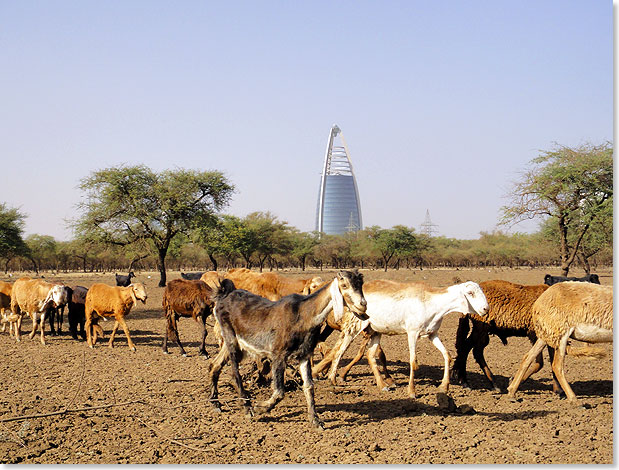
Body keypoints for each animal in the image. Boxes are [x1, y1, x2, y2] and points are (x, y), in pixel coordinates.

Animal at [208, 270, 368, 428]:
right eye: (344, 285)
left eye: (361, 284)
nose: (363, 305)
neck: (304, 314)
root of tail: (223, 296)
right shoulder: (278, 354)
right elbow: (280, 391)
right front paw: (260, 408)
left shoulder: (304, 354)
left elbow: (309, 386)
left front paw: (315, 420)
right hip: (230, 337)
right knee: (235, 374)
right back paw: (247, 408)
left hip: (238, 344)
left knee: (215, 365)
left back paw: (215, 403)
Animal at [314, 280, 490, 398]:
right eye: (470, 293)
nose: (486, 309)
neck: (433, 303)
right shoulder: (412, 332)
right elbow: (413, 361)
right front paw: (412, 391)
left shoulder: (432, 334)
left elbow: (447, 355)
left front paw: (444, 387)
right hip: (354, 327)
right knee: (339, 351)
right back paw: (333, 379)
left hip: (375, 330)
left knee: (370, 355)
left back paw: (382, 385)